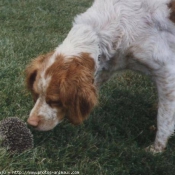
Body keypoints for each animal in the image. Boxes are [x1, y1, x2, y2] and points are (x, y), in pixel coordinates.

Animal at [26, 0, 175, 153]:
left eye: (55, 101)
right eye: (36, 94)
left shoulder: (167, 71)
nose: (31, 123)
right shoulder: (111, 63)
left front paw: (157, 149)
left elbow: (164, 116)